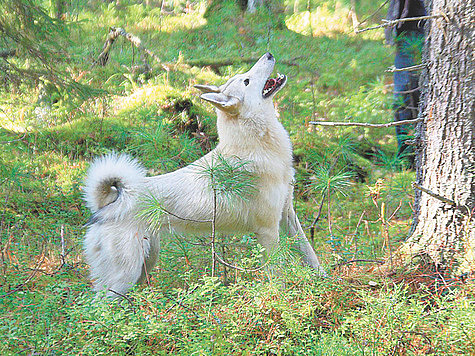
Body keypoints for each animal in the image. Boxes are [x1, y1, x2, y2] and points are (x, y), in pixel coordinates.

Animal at [83, 52, 326, 296]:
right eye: (247, 81)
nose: (268, 54)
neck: (258, 146)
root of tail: (106, 206)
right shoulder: (267, 230)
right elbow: (279, 273)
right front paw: (282, 297)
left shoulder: (288, 215)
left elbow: (309, 254)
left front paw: (325, 281)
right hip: (124, 277)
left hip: (145, 264)